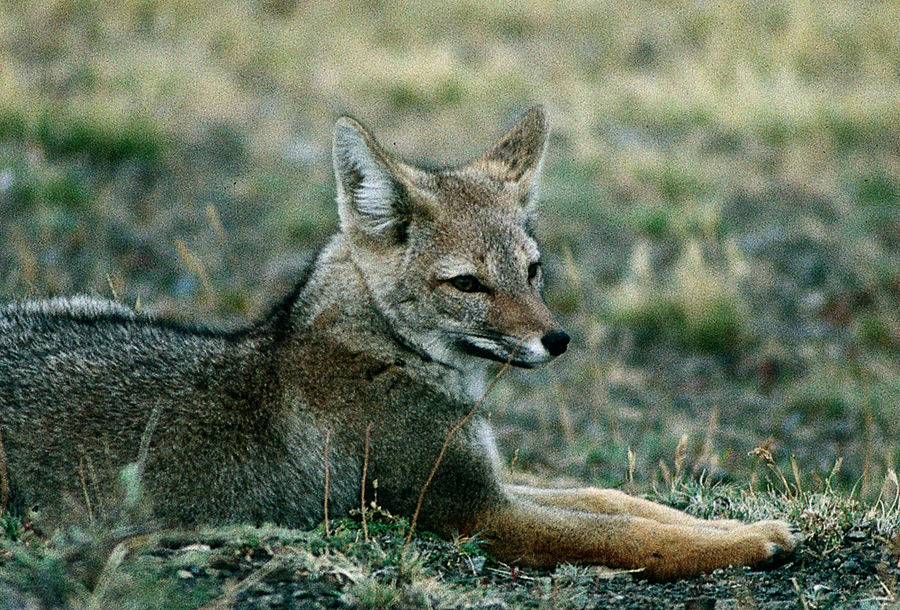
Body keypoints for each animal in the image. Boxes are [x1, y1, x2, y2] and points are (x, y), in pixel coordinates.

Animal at [0, 107, 796, 576]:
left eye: (533, 270)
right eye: (468, 284)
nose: (558, 339)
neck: (386, 353)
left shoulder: (489, 481)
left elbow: (618, 499)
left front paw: (732, 520)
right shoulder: (471, 510)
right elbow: (626, 536)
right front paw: (744, 542)